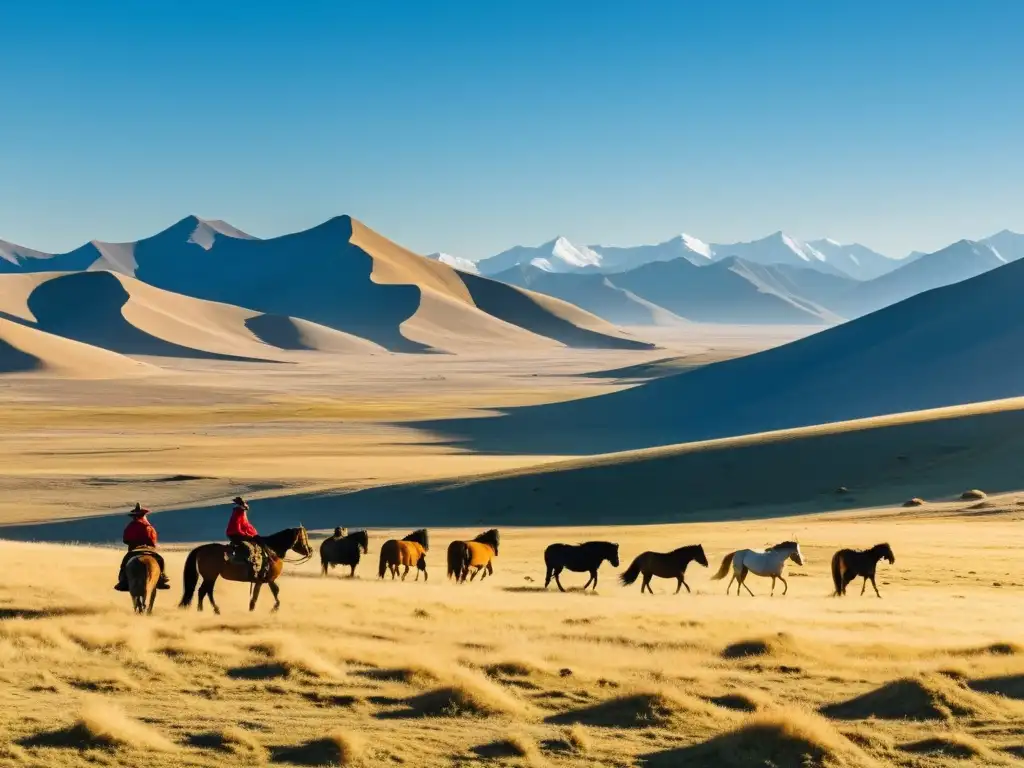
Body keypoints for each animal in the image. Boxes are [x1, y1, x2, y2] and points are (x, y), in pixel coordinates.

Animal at [178, 528, 311, 618]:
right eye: (303, 538)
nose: (310, 550)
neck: (272, 551)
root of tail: (201, 549)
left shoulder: (268, 580)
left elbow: (275, 591)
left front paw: (273, 608)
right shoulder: (261, 580)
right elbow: (258, 596)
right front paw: (256, 610)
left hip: (211, 576)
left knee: (206, 591)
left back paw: (210, 610)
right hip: (210, 576)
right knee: (203, 591)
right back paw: (207, 610)